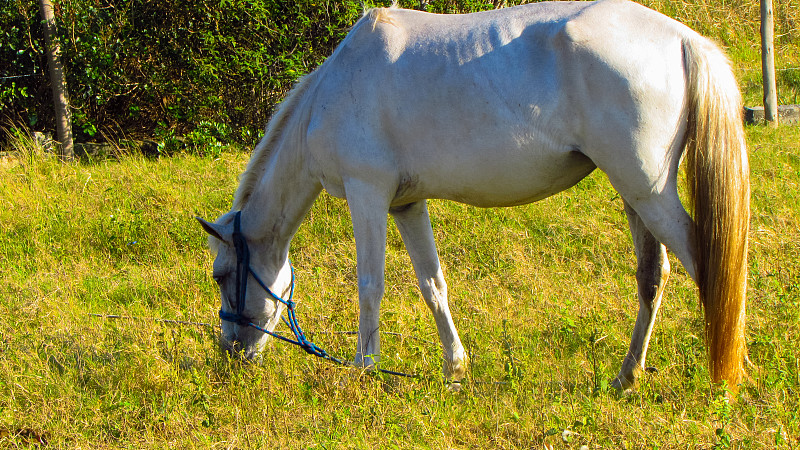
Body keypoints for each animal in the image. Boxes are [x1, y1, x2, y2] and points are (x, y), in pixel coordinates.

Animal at [198, 0, 752, 390]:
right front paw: (455, 369)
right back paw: (627, 376)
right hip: (635, 196)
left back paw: (726, 376)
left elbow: (371, 285)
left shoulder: (367, 195)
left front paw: (363, 369)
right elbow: (432, 284)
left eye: (222, 275)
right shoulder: (405, 204)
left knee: (708, 269)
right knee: (652, 278)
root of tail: (683, 38)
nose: (230, 354)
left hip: (647, 191)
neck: (331, 93)